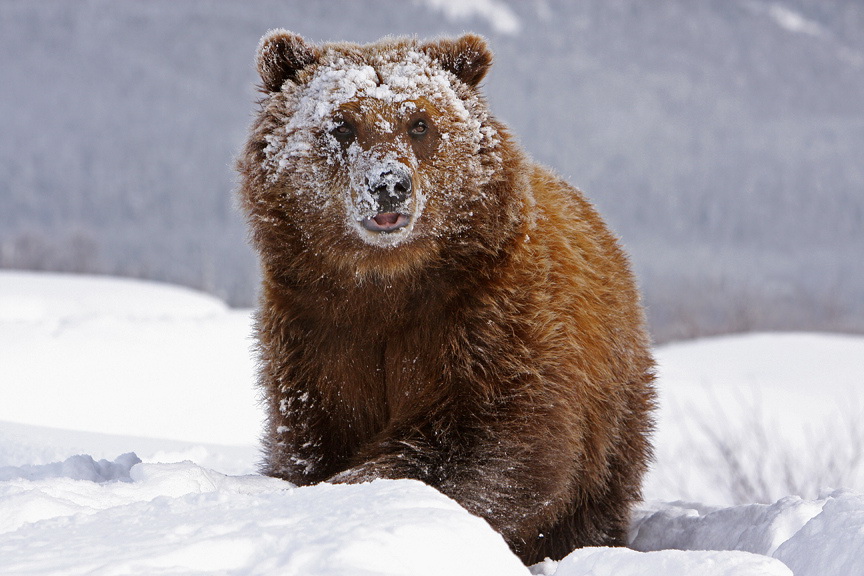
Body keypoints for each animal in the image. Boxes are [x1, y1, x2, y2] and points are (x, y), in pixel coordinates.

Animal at [236, 29, 656, 564]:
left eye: (419, 123)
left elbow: (495, 447)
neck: (387, 284)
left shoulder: (487, 322)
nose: (389, 184)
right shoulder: (317, 333)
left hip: (613, 401)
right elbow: (312, 437)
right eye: (342, 125)